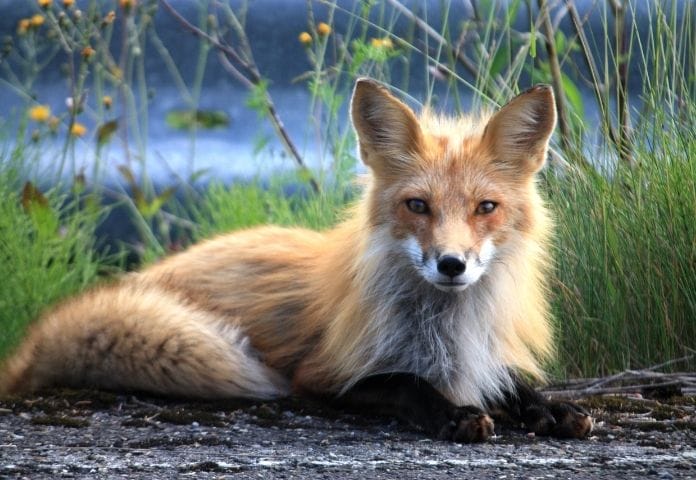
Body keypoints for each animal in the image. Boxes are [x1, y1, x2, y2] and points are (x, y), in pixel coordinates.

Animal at [1, 78, 592, 442]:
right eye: (418, 206)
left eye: (485, 207)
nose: (451, 265)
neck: (446, 327)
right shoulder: (324, 376)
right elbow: (407, 382)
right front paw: (456, 413)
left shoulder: (484, 353)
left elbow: (511, 381)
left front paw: (551, 407)